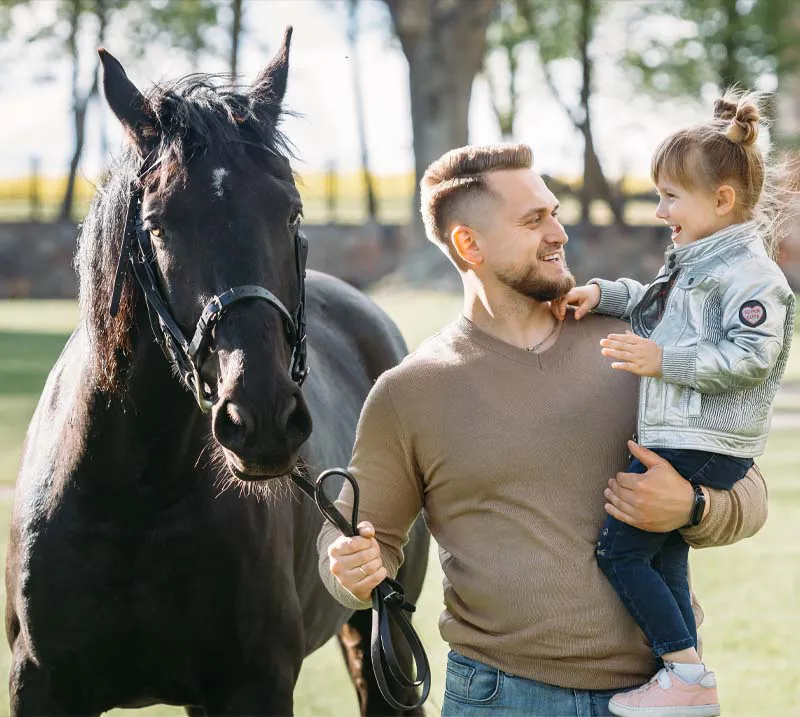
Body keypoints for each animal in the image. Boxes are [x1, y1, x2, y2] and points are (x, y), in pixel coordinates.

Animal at [6, 26, 428, 712]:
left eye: (292, 212)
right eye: (157, 224)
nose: (262, 418)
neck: (135, 492)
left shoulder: (253, 685)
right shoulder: (40, 687)